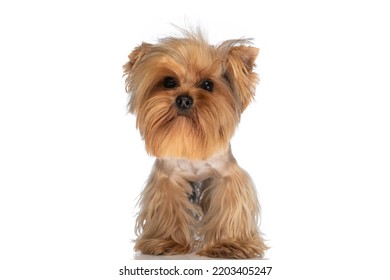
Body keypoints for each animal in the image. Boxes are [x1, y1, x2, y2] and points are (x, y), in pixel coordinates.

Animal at [123, 29, 266, 258]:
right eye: (169, 82)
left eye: (208, 85)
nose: (183, 99)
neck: (189, 135)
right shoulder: (167, 178)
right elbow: (169, 208)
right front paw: (166, 242)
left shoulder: (227, 176)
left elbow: (230, 205)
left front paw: (230, 243)